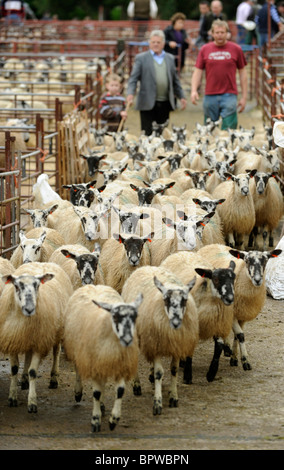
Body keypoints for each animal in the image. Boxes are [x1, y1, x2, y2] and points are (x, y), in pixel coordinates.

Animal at [0, 262, 74, 414]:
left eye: (38, 286)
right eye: (16, 286)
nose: (29, 309)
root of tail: (42, 262)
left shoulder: (40, 342)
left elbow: (33, 371)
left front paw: (32, 402)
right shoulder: (13, 340)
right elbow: (14, 369)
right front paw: (12, 397)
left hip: (57, 330)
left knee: (56, 352)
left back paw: (53, 378)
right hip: (30, 338)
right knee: (28, 356)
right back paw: (24, 380)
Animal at [62, 282, 142, 434]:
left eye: (135, 317)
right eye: (115, 317)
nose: (128, 339)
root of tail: (94, 285)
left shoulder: (119, 365)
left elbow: (120, 391)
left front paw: (113, 420)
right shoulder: (93, 363)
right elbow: (97, 393)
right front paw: (95, 420)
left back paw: (103, 406)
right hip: (79, 350)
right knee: (78, 370)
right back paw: (78, 392)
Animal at [121, 266, 199, 414]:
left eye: (184, 300)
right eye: (166, 300)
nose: (176, 322)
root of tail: (145, 267)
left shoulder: (175, 345)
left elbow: (174, 370)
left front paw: (173, 396)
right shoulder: (156, 345)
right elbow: (159, 373)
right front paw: (157, 403)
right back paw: (136, 385)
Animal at [161, 250, 236, 382]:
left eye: (233, 279)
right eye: (215, 279)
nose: (229, 298)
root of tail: (181, 252)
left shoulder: (217, 324)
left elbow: (218, 348)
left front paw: (211, 374)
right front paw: (187, 376)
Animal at [197, 244, 282, 372]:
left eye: (266, 260)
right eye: (246, 260)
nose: (257, 280)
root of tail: (211, 245)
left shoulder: (242, 314)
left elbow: (237, 335)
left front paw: (234, 358)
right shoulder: (232, 313)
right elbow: (241, 335)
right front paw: (245, 361)